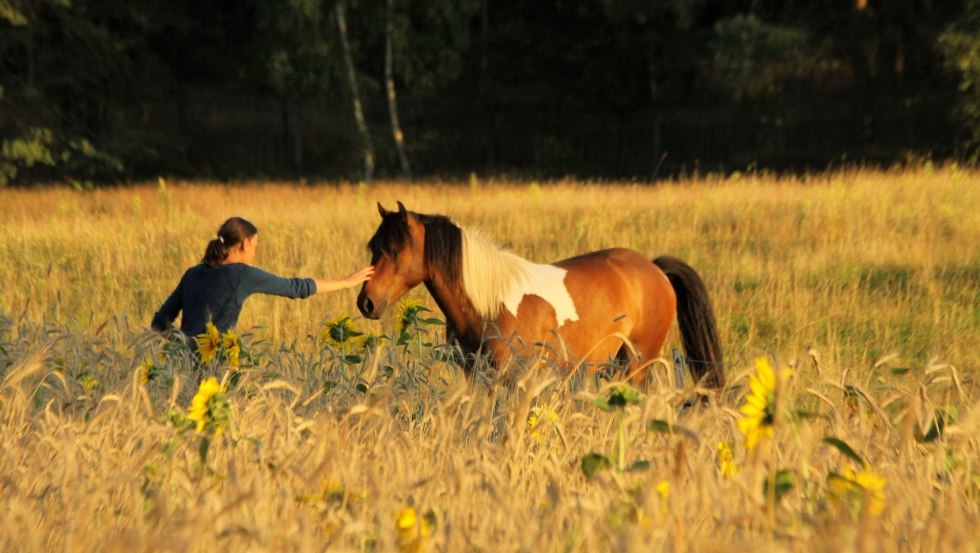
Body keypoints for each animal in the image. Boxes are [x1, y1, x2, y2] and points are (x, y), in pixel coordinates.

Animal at [356, 201, 724, 386]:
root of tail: (655, 269)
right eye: (374, 246)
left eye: (395, 250)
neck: (489, 306)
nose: (366, 302)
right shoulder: (476, 376)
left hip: (638, 361)